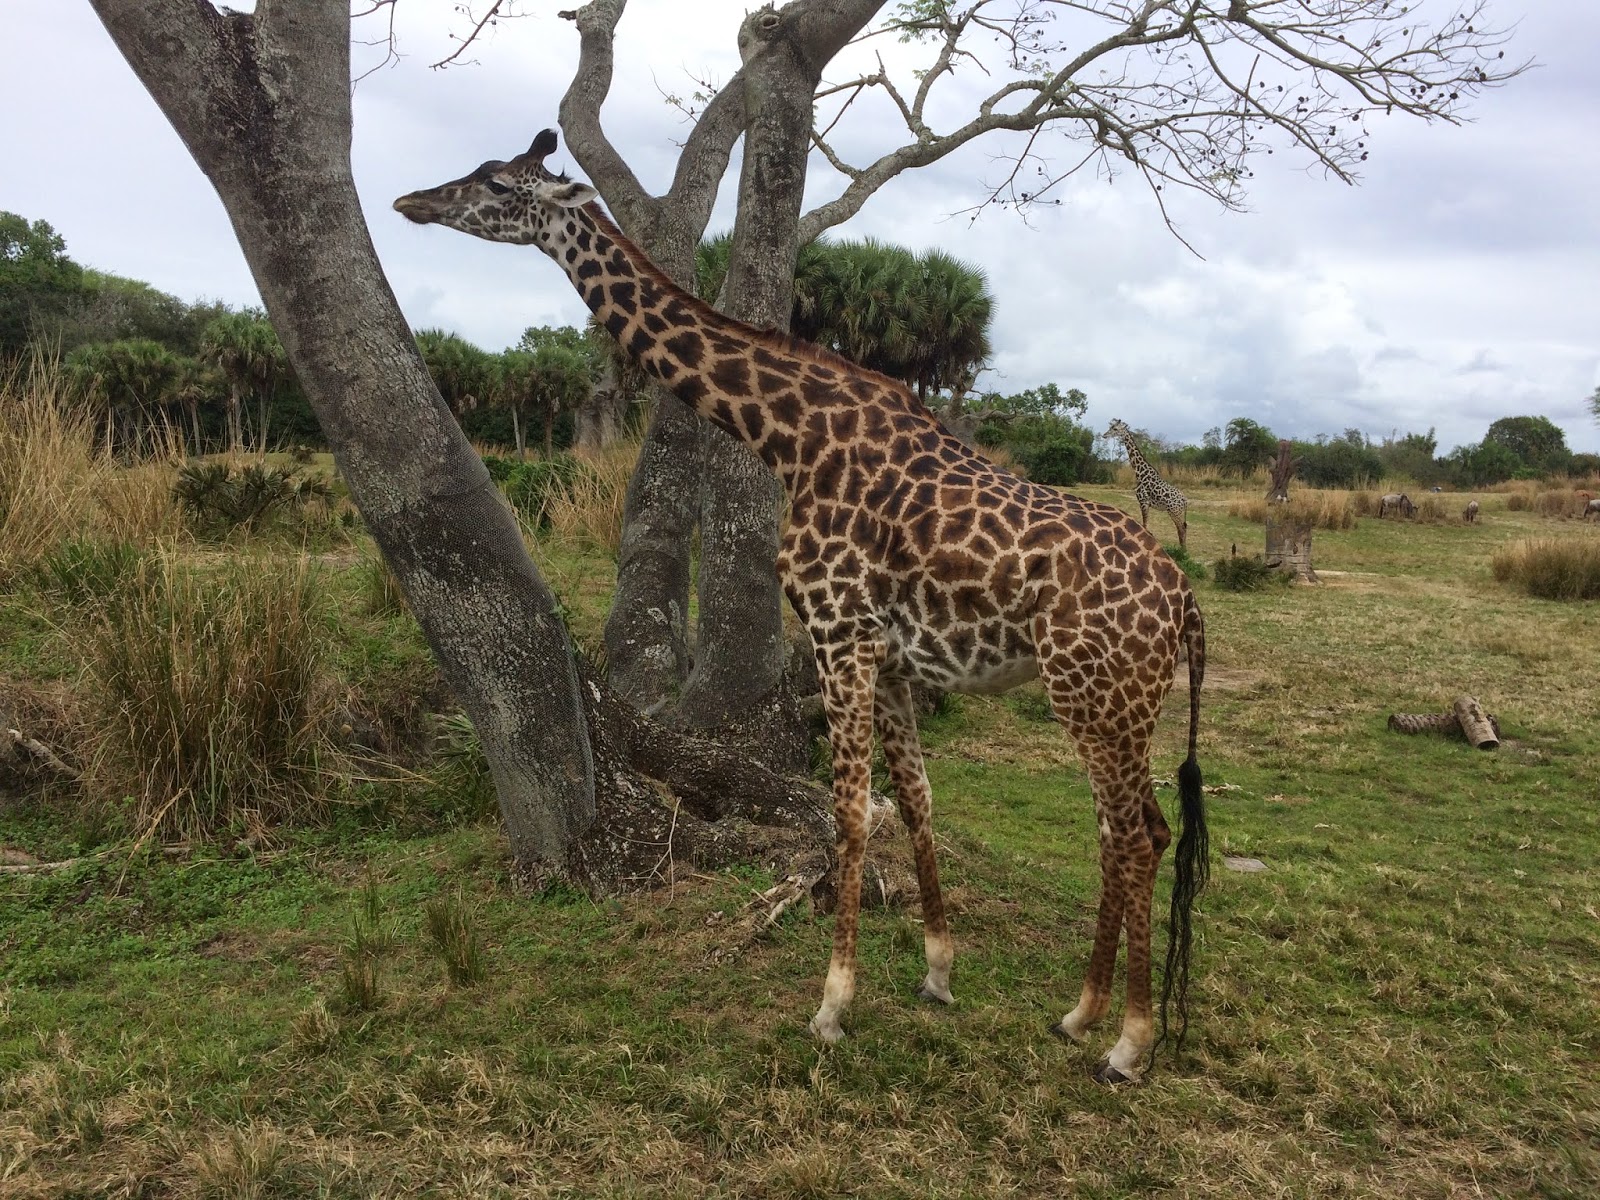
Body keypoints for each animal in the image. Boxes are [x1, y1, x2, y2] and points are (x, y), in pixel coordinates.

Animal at [1103, 418, 1188, 550]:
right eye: (1110, 427)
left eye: (1115, 429)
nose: (1104, 435)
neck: (1140, 473)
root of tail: (1184, 500)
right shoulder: (1146, 503)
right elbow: (1146, 526)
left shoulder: (1143, 501)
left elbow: (1144, 525)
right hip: (1177, 512)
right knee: (1183, 528)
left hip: (1174, 511)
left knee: (1181, 529)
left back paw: (1182, 552)